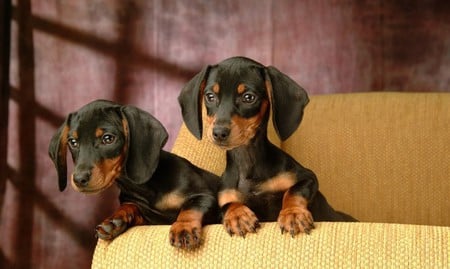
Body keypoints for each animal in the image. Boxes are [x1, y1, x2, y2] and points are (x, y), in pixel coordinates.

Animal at [48, 99, 221, 248]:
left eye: (108, 138)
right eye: (73, 142)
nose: (79, 179)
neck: (146, 187)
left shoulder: (205, 195)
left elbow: (190, 208)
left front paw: (184, 228)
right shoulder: (151, 218)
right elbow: (130, 206)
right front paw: (114, 221)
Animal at [178, 56, 356, 237]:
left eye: (249, 97)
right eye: (210, 96)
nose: (219, 132)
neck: (247, 162)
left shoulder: (308, 178)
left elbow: (293, 192)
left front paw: (292, 214)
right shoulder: (224, 198)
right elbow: (228, 205)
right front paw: (238, 216)